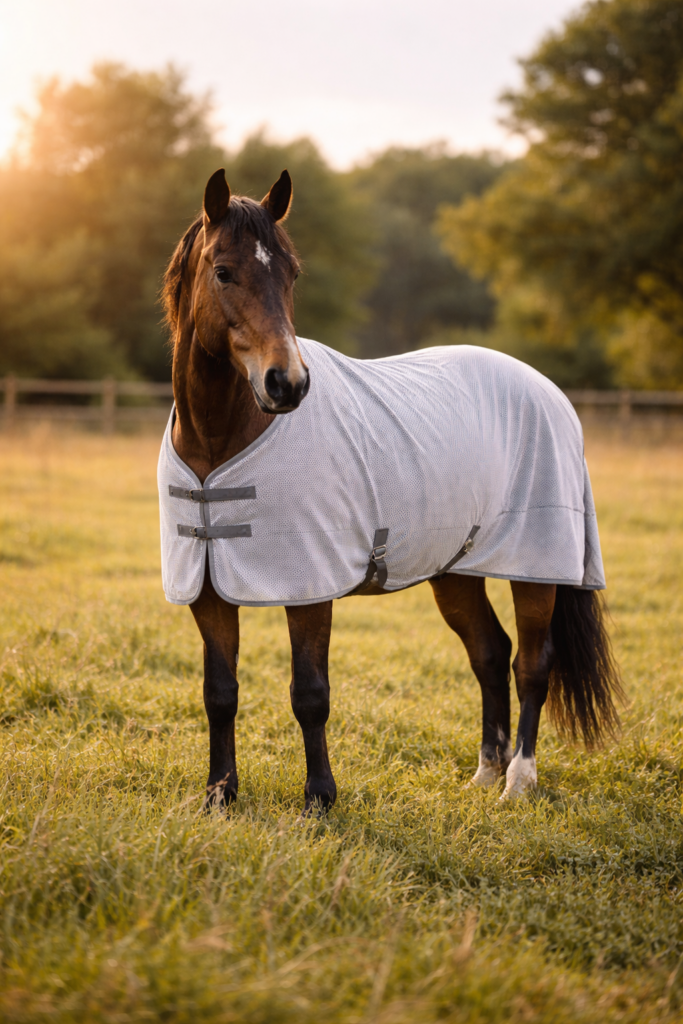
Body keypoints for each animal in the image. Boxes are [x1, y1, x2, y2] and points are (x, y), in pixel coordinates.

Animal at [160, 167, 622, 814]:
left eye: (291, 273)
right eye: (223, 271)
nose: (287, 383)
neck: (219, 443)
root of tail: (549, 392)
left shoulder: (310, 587)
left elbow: (311, 694)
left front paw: (320, 799)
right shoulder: (207, 588)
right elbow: (219, 692)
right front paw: (219, 796)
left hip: (535, 568)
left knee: (533, 663)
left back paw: (518, 780)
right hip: (457, 570)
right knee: (489, 653)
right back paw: (485, 773)